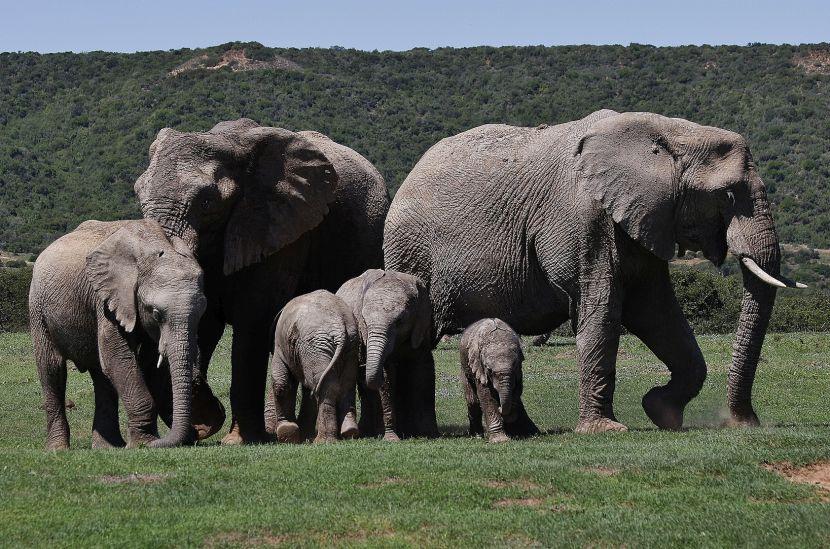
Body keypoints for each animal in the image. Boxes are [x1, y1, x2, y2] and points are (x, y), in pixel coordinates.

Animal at [30, 218, 210, 450]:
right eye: (156, 313)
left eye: (202, 313)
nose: (196, 434)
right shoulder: (106, 299)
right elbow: (118, 356)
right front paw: (145, 443)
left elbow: (141, 363)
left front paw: (145, 441)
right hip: (37, 306)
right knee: (51, 367)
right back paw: (58, 449)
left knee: (102, 377)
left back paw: (108, 446)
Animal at [272, 288, 360, 444]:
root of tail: (340, 326)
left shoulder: (280, 346)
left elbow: (281, 383)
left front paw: (287, 434)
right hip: (348, 345)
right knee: (344, 384)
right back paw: (349, 433)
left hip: (316, 345)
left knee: (324, 386)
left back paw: (322, 441)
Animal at [386, 108, 808, 432]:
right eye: (727, 194)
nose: (743, 422)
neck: (669, 132)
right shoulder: (583, 219)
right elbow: (604, 311)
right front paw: (606, 429)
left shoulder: (644, 218)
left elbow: (658, 313)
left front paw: (662, 412)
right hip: (411, 252)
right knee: (416, 346)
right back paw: (421, 433)